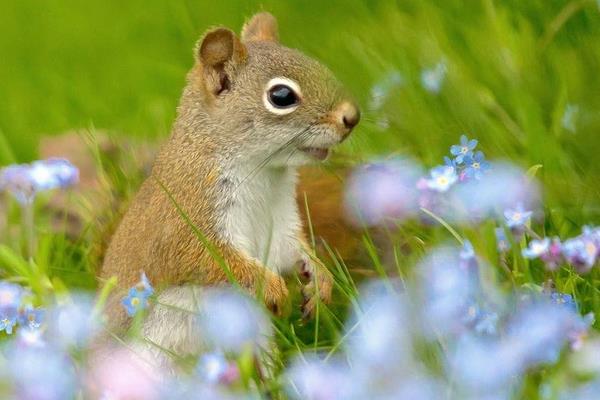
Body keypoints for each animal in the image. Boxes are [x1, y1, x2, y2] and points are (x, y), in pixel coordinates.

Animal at [100, 11, 358, 360]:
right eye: (282, 96)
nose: (352, 117)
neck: (263, 174)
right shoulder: (188, 216)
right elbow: (209, 259)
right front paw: (274, 290)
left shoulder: (280, 221)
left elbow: (291, 248)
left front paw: (319, 280)